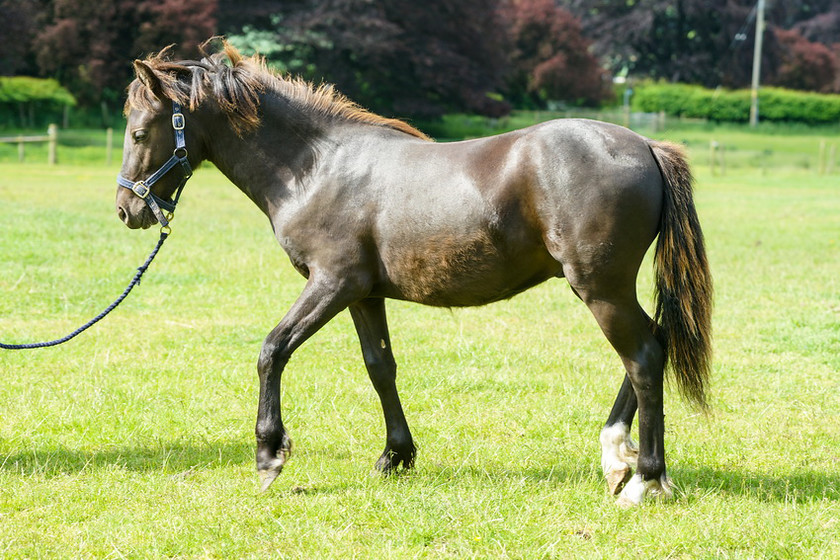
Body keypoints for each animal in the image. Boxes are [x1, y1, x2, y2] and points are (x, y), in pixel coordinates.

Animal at [116, 44, 708, 508]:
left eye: (139, 131)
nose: (128, 209)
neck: (315, 167)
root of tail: (644, 146)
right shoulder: (362, 294)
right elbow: (381, 367)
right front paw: (395, 456)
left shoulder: (330, 284)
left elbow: (272, 350)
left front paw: (269, 455)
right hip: (606, 288)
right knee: (653, 343)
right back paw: (617, 457)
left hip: (599, 287)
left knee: (643, 357)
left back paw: (644, 480)